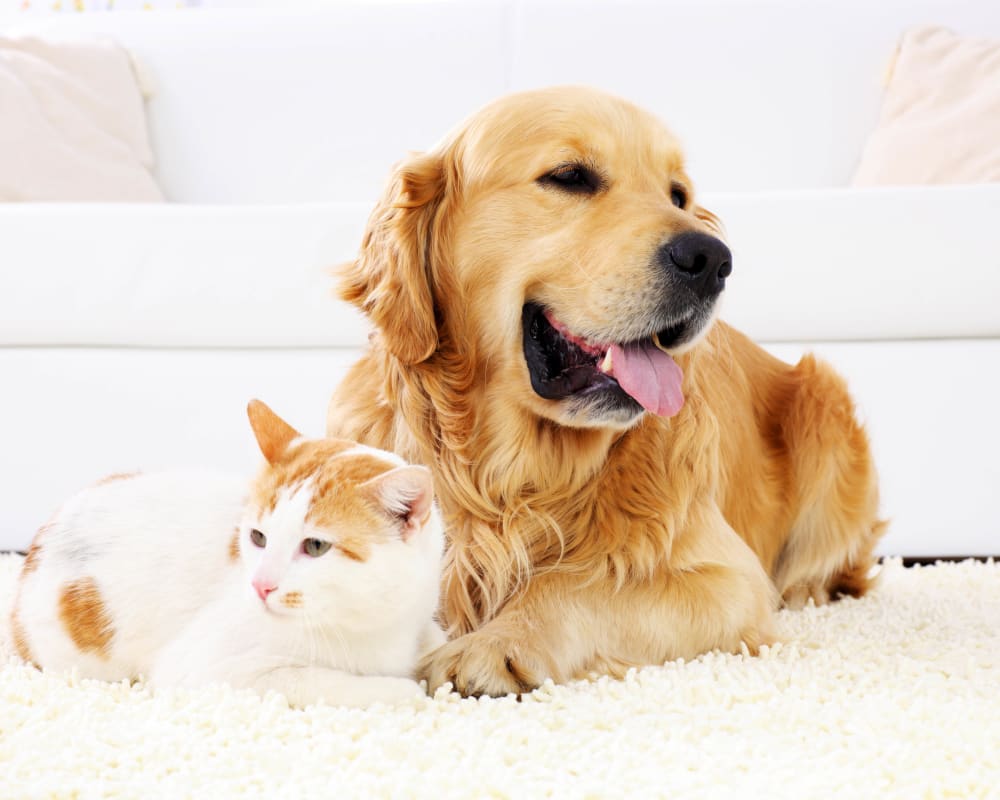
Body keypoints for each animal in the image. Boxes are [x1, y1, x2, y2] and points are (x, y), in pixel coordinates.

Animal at [9, 404, 444, 708]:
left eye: (316, 546)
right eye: (258, 537)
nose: (260, 585)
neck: (372, 620)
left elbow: (436, 637)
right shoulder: (205, 669)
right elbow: (328, 682)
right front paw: (404, 687)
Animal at [328, 86, 884, 692]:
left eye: (678, 194)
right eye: (570, 176)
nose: (712, 259)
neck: (516, 476)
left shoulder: (728, 578)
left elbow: (574, 583)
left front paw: (494, 644)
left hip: (823, 400)